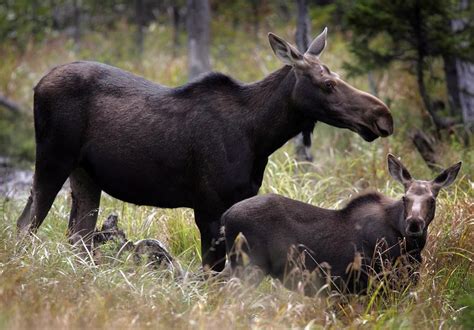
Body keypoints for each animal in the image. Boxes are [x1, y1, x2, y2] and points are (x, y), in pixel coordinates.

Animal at [16, 27, 392, 270]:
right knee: (26, 224)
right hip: (52, 159)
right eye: (328, 84)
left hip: (85, 175)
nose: (382, 116)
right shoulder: (208, 206)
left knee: (77, 237)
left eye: (338, 76)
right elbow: (212, 274)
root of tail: (36, 85)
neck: (260, 137)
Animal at [224, 153, 462, 292]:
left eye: (432, 200)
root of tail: (225, 217)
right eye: (405, 198)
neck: (411, 248)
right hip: (248, 266)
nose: (414, 223)